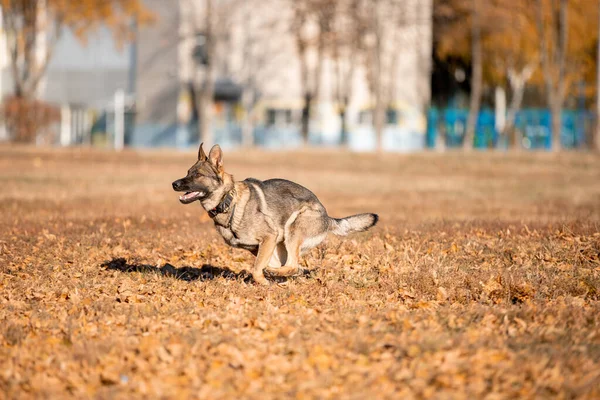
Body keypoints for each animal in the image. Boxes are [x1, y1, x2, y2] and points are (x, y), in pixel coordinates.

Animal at [171, 143, 378, 284]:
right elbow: (260, 265)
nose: (174, 184)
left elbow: (256, 270)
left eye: (198, 175)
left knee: (292, 264)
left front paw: (263, 283)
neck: (229, 201)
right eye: (187, 172)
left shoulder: (269, 237)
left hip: (293, 230)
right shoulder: (260, 247)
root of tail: (327, 217)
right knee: (292, 266)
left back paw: (275, 274)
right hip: (281, 246)